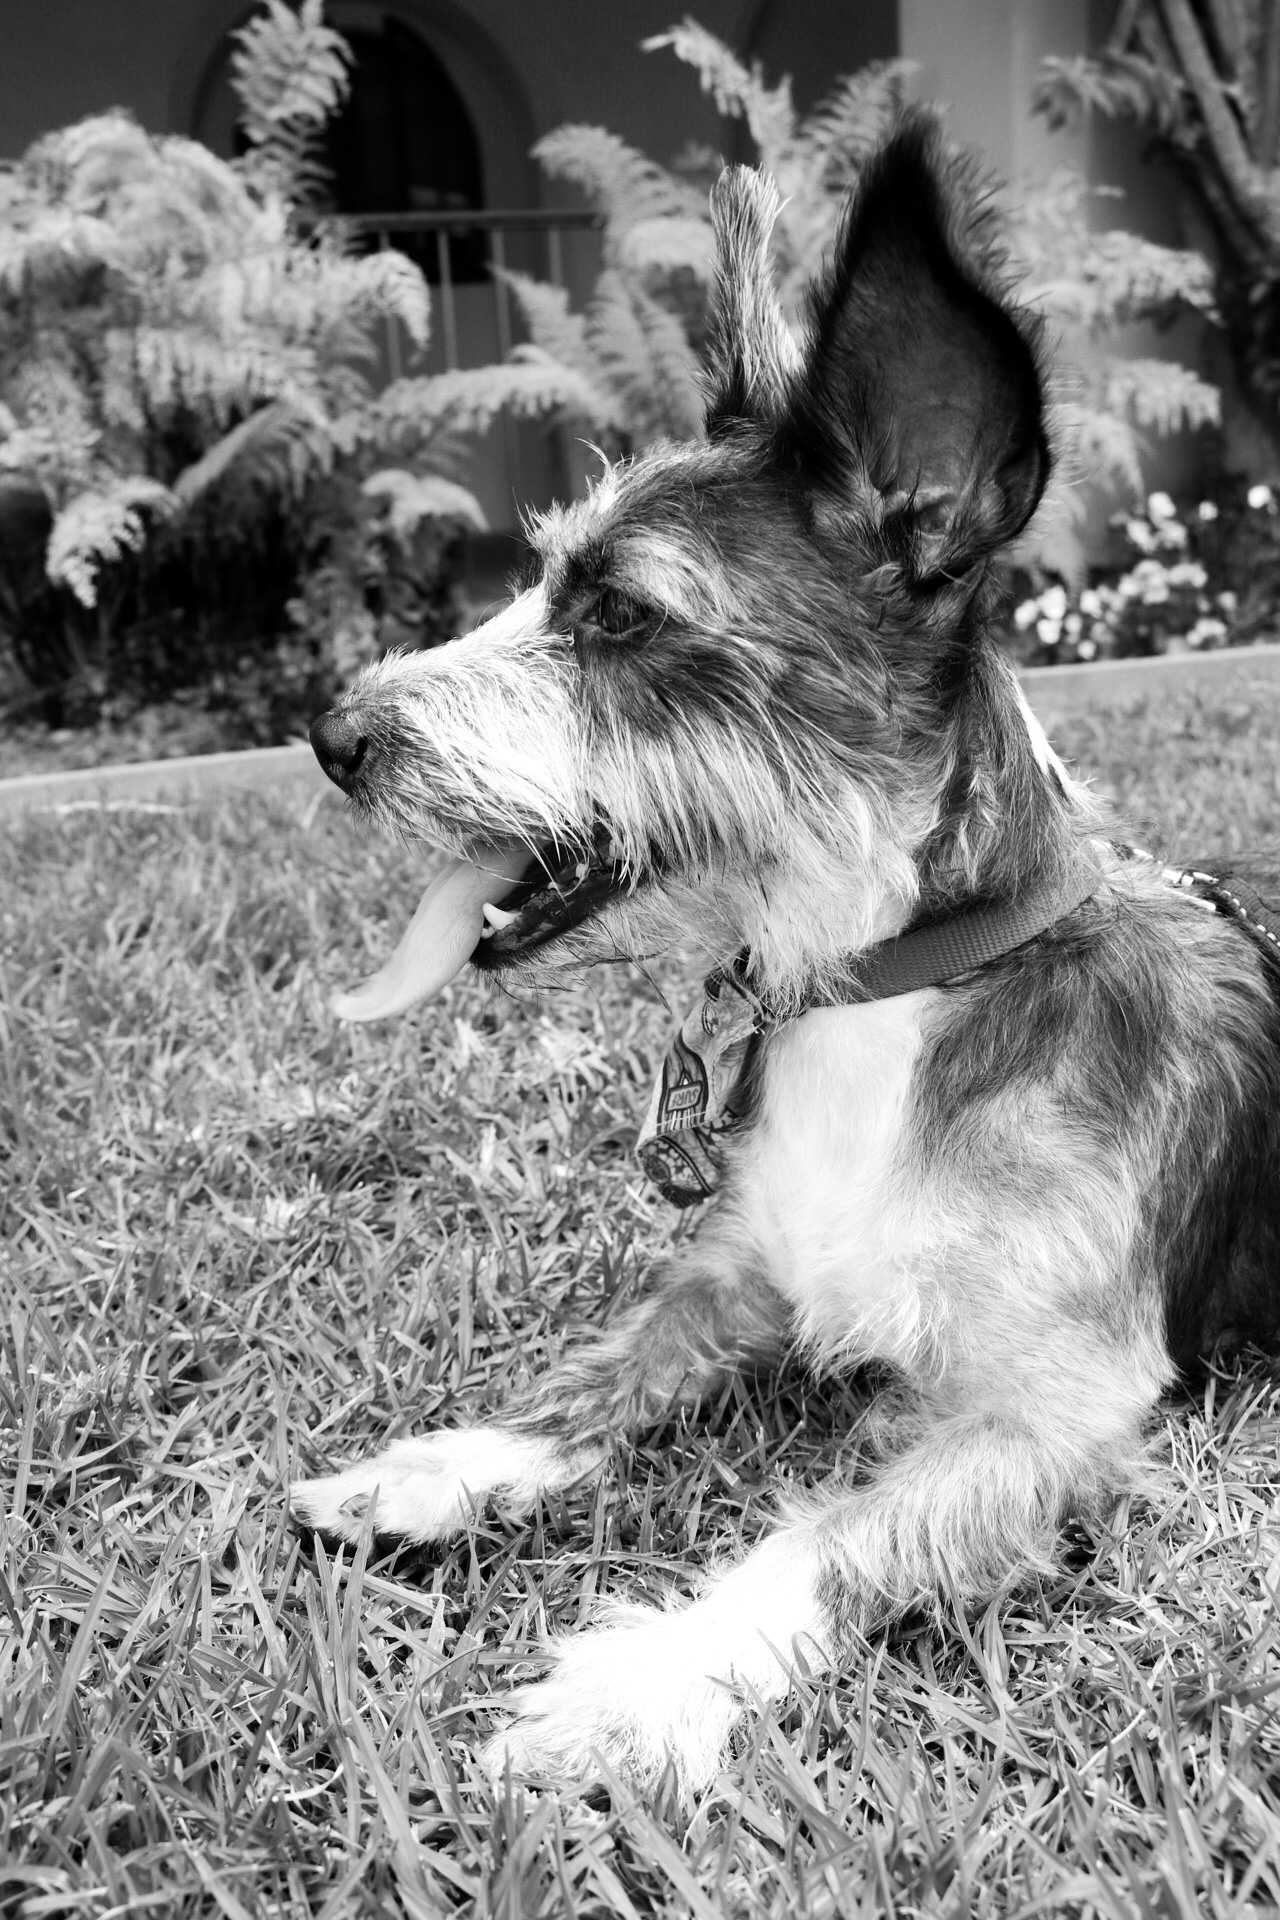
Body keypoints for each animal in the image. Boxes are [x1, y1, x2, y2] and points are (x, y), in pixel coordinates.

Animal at [296, 115, 1280, 1800]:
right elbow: (598, 1371)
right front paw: (449, 1465)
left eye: (622, 616)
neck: (895, 985)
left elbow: (829, 1539)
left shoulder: (1055, 1410)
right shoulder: (732, 1271)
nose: (333, 735)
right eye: (540, 575)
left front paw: (639, 1682)